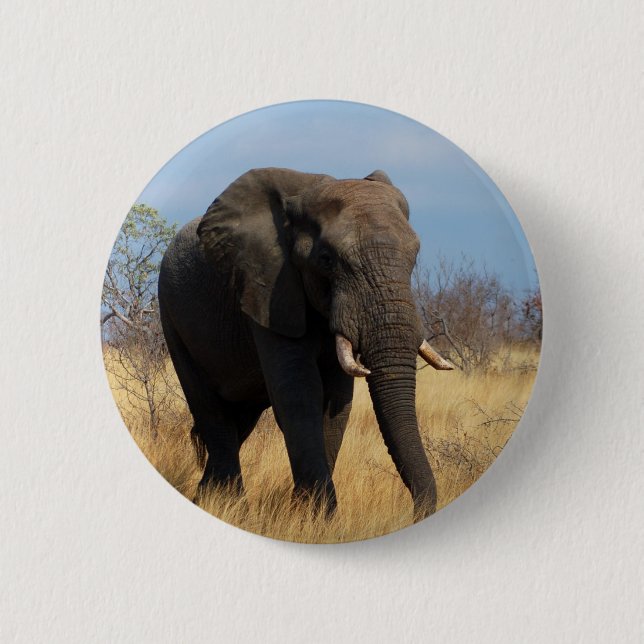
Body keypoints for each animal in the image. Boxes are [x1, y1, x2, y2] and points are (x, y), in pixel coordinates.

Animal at [158, 167, 453, 520]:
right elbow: (299, 393)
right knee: (211, 410)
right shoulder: (268, 288)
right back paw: (231, 505)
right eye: (326, 260)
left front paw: (304, 515)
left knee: (239, 419)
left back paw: (207, 500)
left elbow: (337, 400)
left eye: (414, 257)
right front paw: (319, 518)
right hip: (171, 315)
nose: (412, 514)